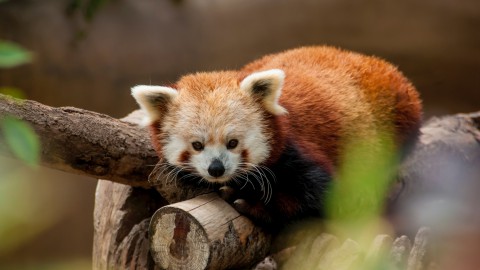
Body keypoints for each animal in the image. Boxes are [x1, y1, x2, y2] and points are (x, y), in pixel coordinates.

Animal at [131, 46, 420, 228]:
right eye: (197, 145)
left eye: (233, 143)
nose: (216, 169)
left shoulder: (297, 149)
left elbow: (322, 198)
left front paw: (252, 204)